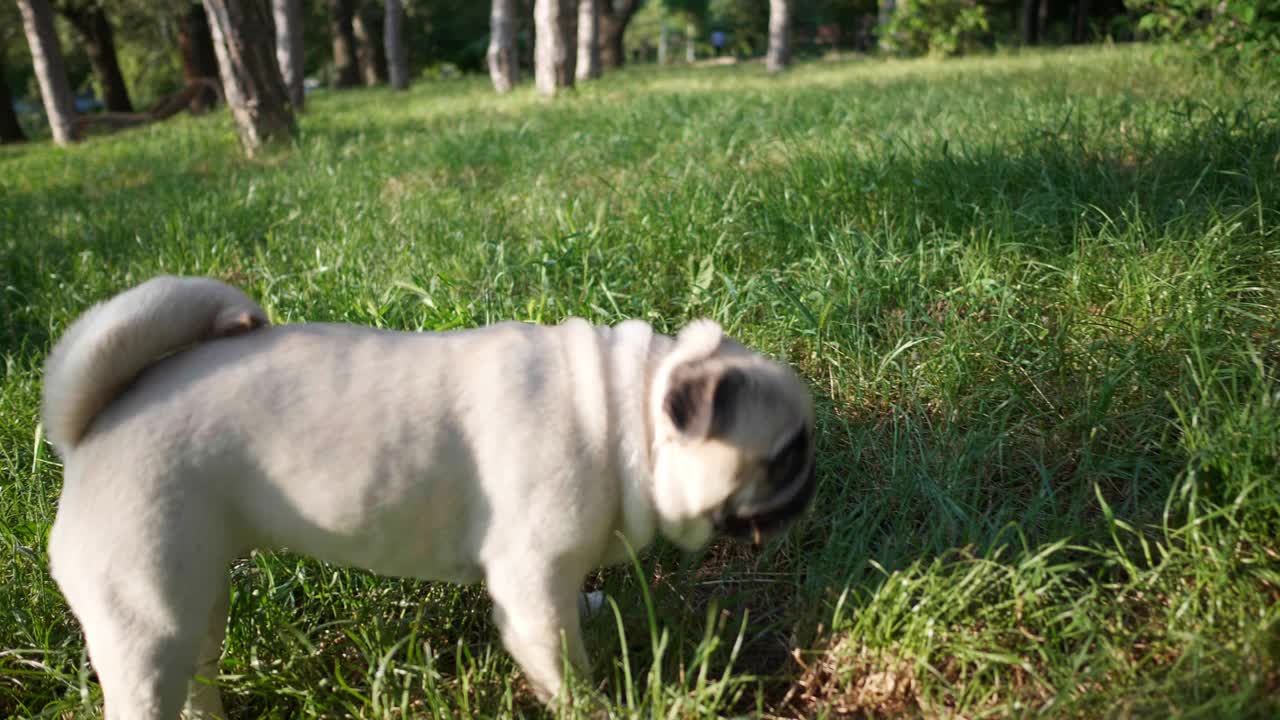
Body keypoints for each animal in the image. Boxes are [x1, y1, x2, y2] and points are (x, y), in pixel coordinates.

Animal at [45, 271, 819, 712]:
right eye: (786, 456)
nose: (811, 484)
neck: (617, 412)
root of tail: (89, 430)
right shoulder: (533, 584)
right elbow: (561, 664)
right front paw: (599, 709)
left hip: (199, 603)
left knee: (199, 680)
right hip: (150, 620)